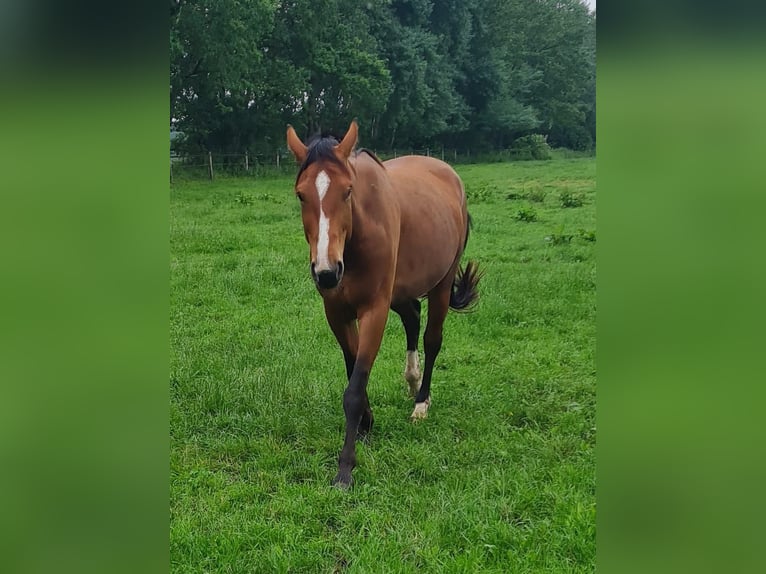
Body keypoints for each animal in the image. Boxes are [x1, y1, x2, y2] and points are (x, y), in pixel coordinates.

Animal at [286, 120, 481, 487]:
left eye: (347, 191)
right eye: (301, 194)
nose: (326, 272)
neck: (357, 237)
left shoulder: (374, 310)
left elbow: (354, 387)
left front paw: (345, 468)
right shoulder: (337, 313)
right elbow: (353, 371)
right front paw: (366, 425)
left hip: (442, 283)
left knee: (432, 339)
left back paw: (421, 401)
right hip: (401, 292)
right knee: (413, 318)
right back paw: (413, 380)